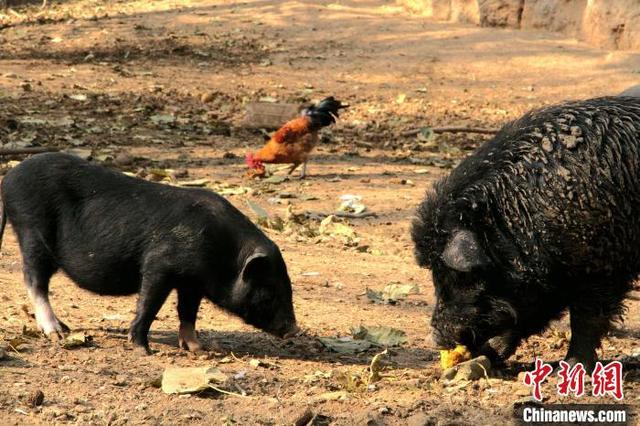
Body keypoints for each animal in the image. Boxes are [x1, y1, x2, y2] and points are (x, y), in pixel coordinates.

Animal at [0, 153, 298, 352]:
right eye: (269, 290)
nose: (294, 330)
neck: (224, 251)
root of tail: (8, 179)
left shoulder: (192, 282)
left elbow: (187, 312)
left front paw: (197, 348)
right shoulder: (160, 265)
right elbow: (150, 303)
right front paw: (143, 349)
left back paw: (65, 329)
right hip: (32, 231)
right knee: (34, 280)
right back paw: (57, 333)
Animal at [412, 96, 636, 370]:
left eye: (455, 275)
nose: (434, 338)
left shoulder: (600, 266)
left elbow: (586, 319)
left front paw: (570, 366)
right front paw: (485, 356)